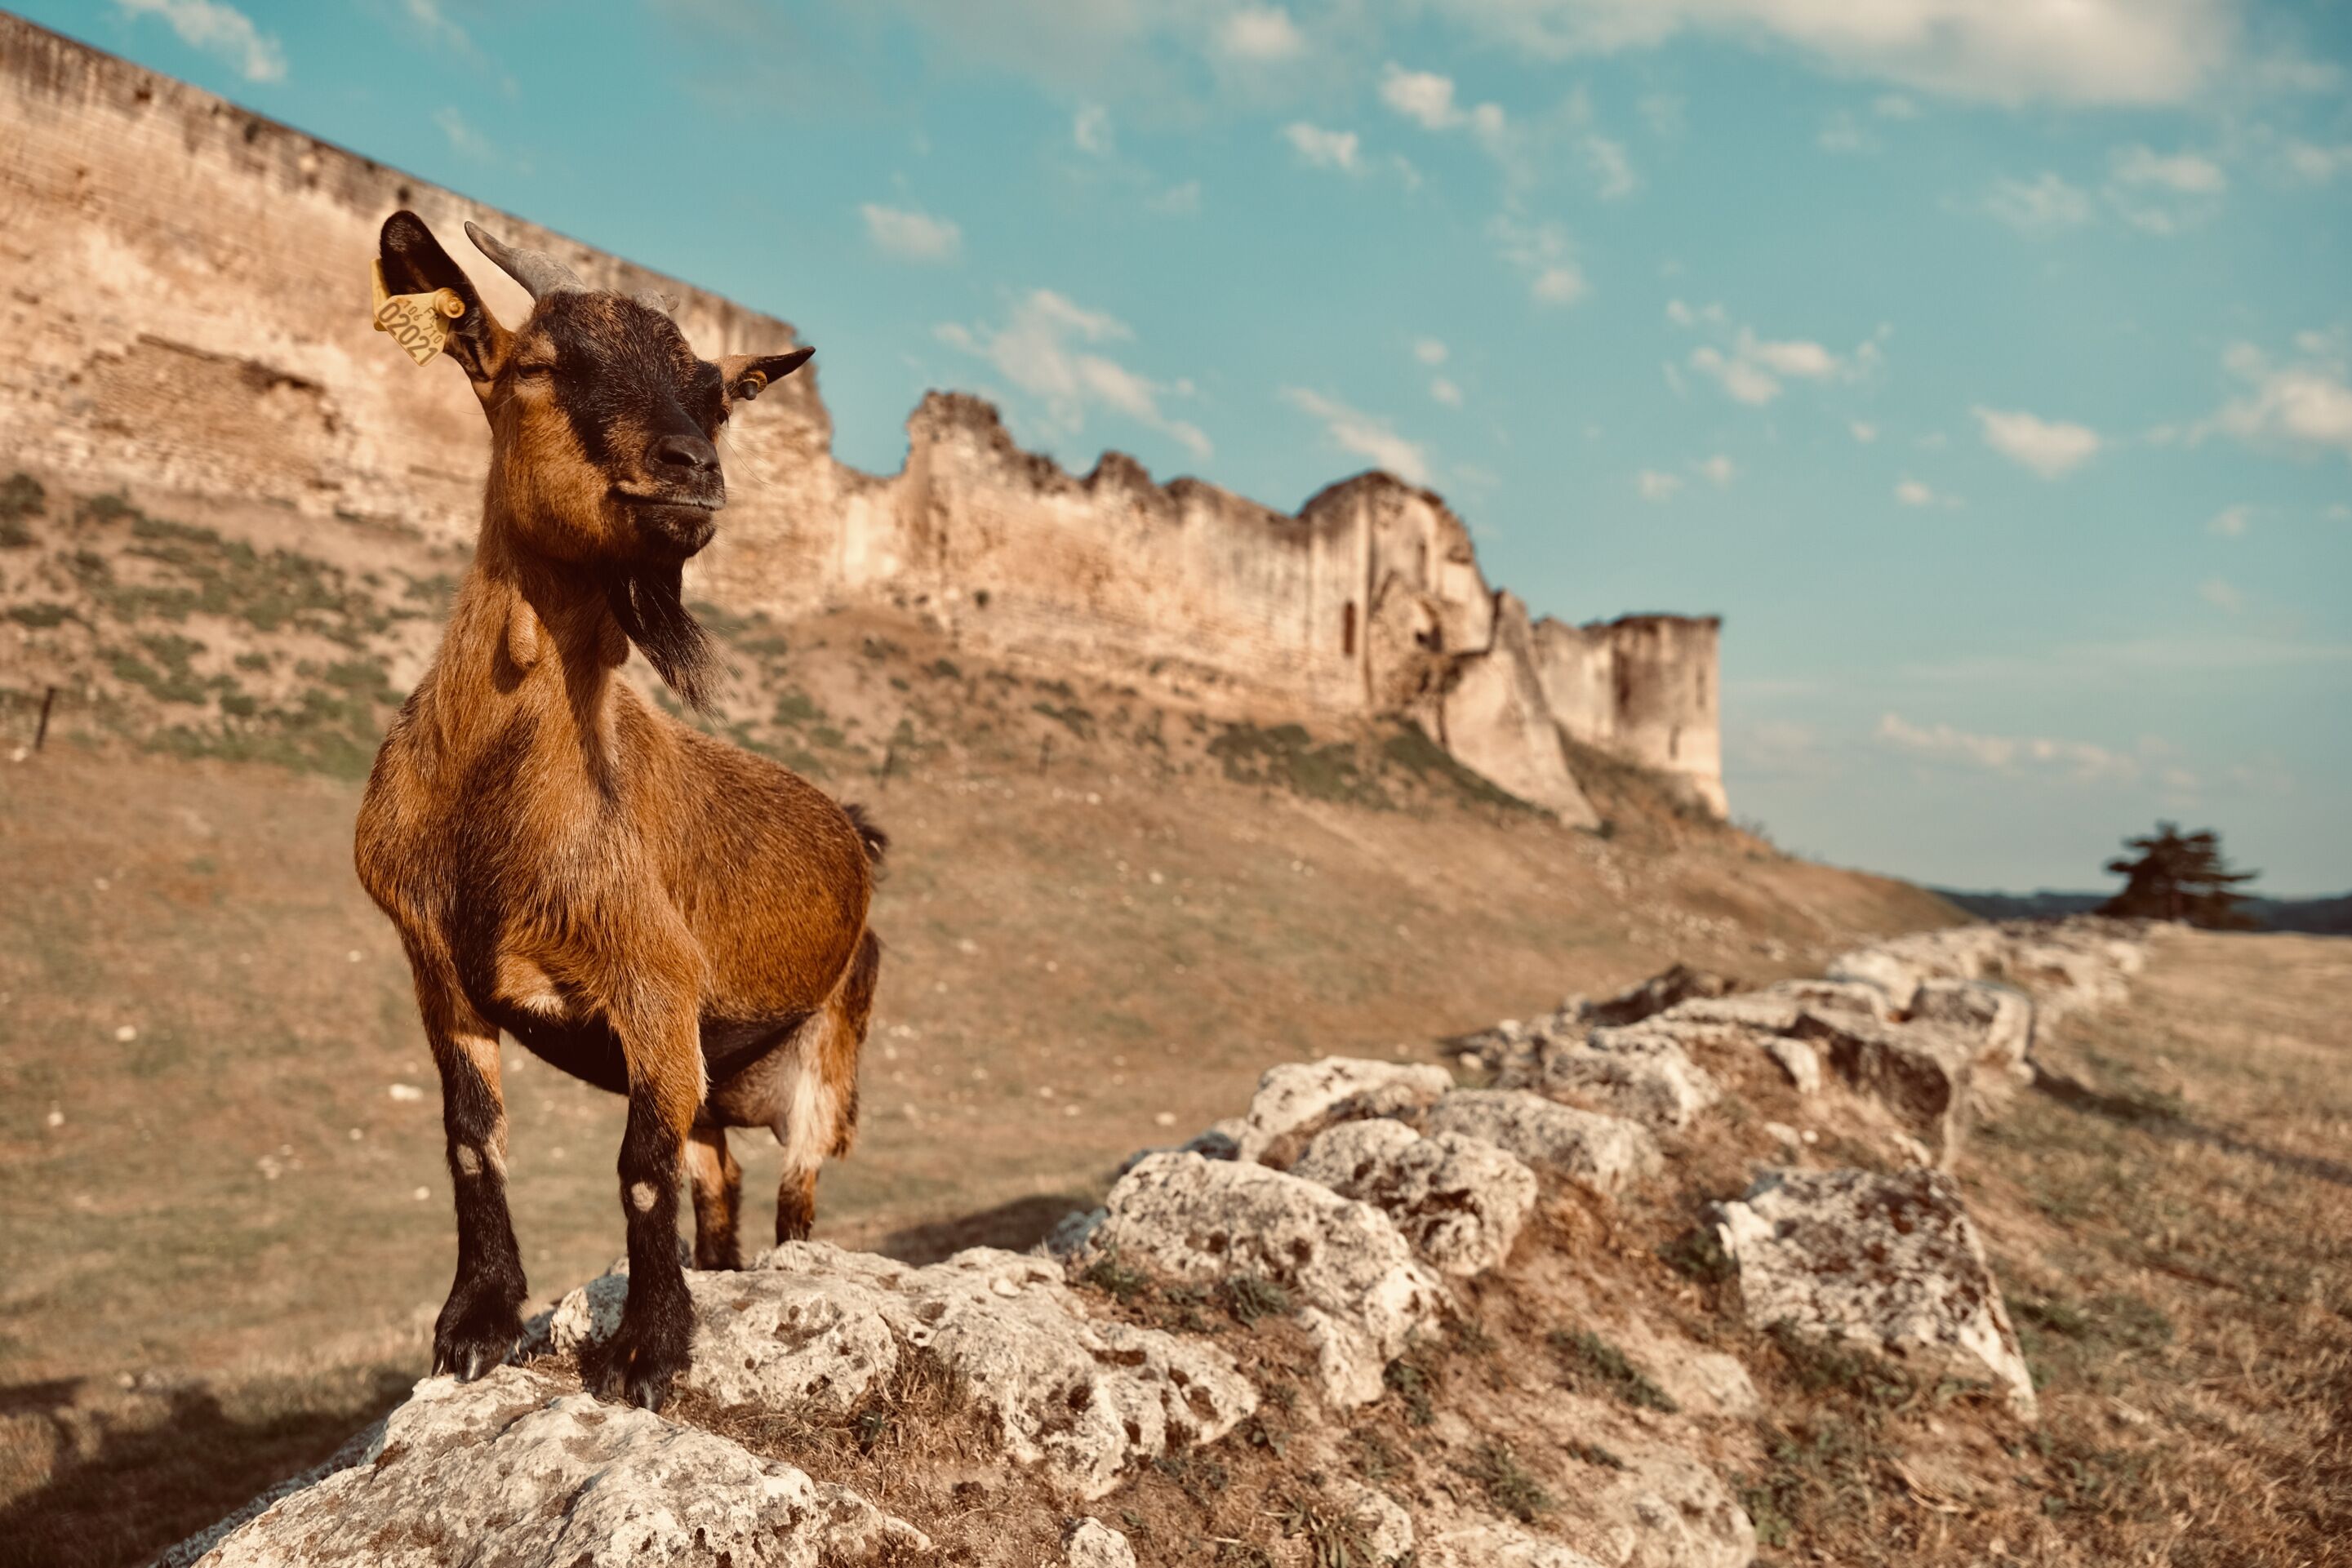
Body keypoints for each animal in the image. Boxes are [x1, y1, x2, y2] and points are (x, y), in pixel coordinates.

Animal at [354, 210, 882, 1410]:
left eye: (717, 395)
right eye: (539, 366)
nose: (693, 471)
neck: (497, 814)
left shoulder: (657, 992)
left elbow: (637, 1168)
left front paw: (645, 1354)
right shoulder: (439, 970)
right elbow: (471, 1139)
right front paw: (474, 1325)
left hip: (826, 1058)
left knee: (794, 1199)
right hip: (718, 1084)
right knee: (719, 1178)